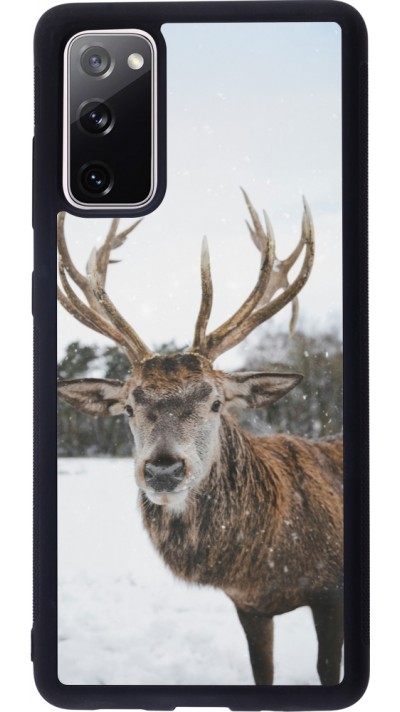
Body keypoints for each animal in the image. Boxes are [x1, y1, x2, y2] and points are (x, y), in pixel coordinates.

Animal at [57, 190, 343, 686]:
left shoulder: (331, 590)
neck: (269, 562)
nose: (163, 469)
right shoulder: (249, 606)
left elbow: (328, 669)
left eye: (215, 402)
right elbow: (262, 672)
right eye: (128, 407)